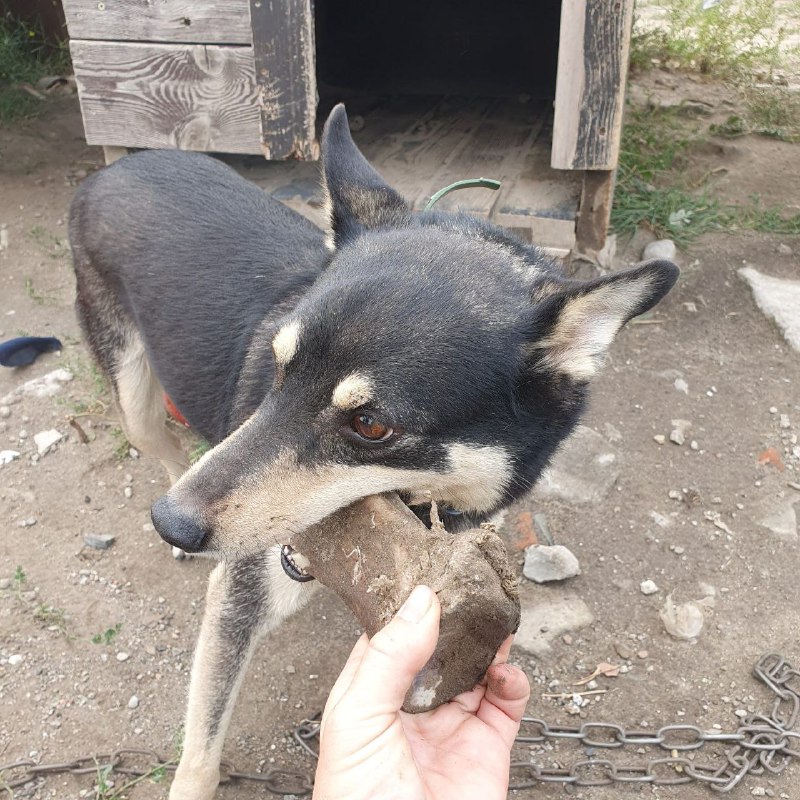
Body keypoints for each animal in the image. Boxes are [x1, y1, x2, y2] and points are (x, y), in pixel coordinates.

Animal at [69, 108, 680, 800]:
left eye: (370, 424)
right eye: (278, 369)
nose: (170, 521)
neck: (427, 512)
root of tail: (121, 165)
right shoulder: (237, 599)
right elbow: (200, 754)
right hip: (135, 398)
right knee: (165, 447)